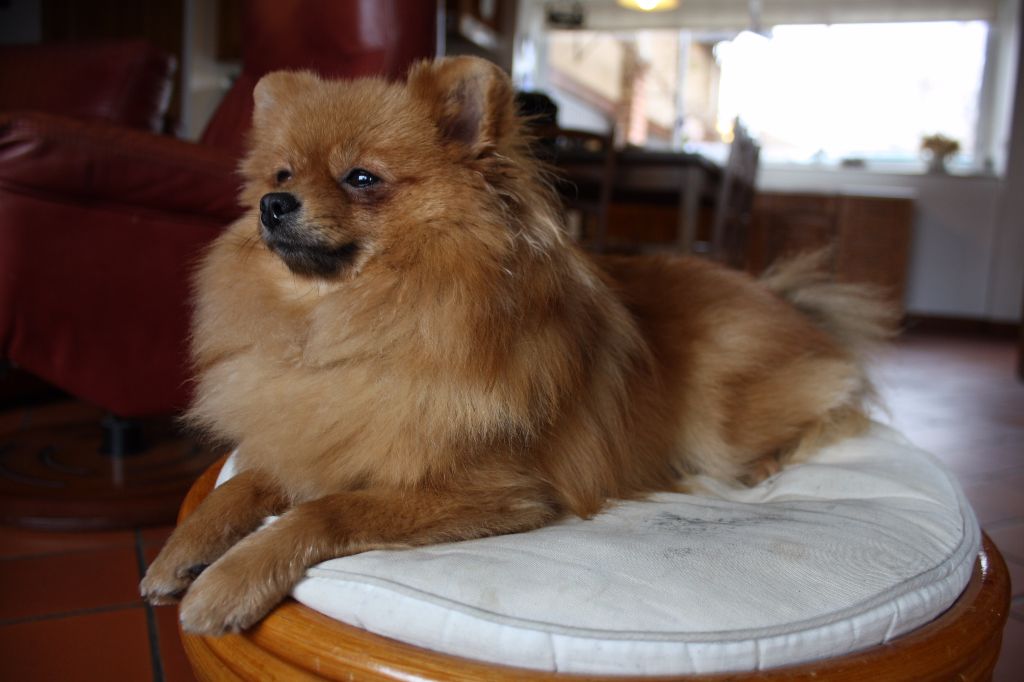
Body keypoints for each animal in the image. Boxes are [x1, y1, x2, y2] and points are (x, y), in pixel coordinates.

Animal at [141, 56, 894, 635]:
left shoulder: (497, 490)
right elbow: (246, 486)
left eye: (361, 178)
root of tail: (783, 299)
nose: (273, 207)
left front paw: (229, 580)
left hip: (724, 405)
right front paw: (182, 551)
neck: (359, 323)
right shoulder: (314, 432)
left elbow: (325, 510)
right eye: (281, 177)